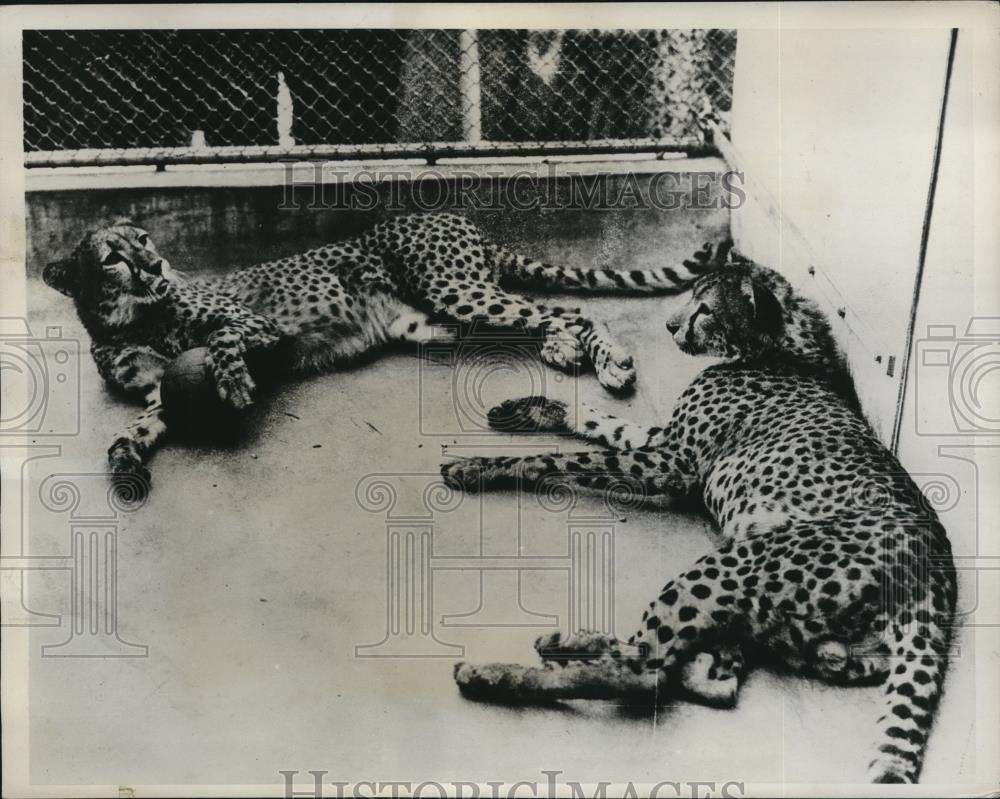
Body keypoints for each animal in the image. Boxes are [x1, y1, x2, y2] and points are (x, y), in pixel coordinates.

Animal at [43, 212, 716, 490]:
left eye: (145, 239)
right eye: (114, 256)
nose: (156, 264)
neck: (127, 319)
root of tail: (457, 217)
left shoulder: (258, 328)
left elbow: (225, 338)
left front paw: (232, 384)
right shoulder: (157, 393)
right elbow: (130, 429)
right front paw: (125, 465)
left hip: (456, 290)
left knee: (573, 310)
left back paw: (611, 362)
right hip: (436, 321)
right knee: (542, 319)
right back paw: (562, 347)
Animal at [442, 247, 956, 784]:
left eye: (705, 308)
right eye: (691, 296)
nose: (670, 325)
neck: (777, 346)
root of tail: (937, 562)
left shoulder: (673, 464)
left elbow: (565, 459)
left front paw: (481, 467)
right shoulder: (666, 446)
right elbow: (606, 424)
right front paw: (535, 410)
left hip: (737, 564)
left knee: (643, 674)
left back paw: (497, 674)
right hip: (787, 619)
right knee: (713, 679)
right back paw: (571, 643)